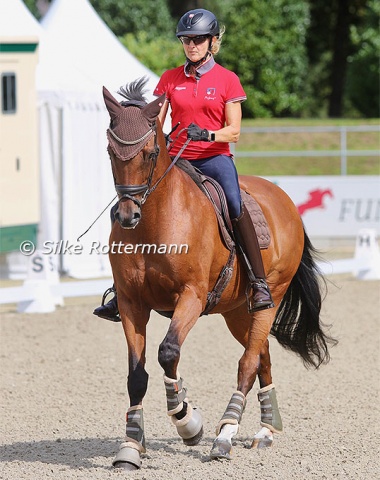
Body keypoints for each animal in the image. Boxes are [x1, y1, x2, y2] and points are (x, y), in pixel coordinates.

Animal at [101, 79, 336, 472]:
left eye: (150, 153)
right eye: (109, 151)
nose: (127, 216)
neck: (155, 221)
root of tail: (284, 198)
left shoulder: (192, 297)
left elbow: (168, 353)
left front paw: (187, 421)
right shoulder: (132, 304)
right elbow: (137, 375)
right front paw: (131, 447)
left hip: (269, 297)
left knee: (247, 363)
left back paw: (225, 436)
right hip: (237, 310)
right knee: (262, 355)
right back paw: (266, 430)